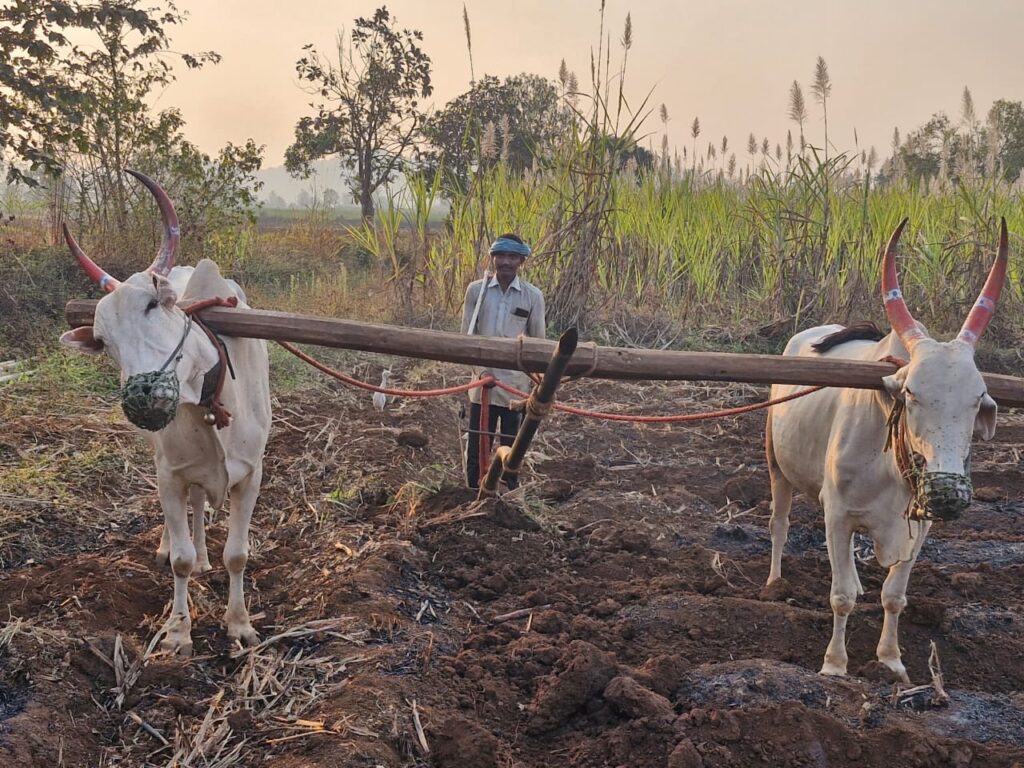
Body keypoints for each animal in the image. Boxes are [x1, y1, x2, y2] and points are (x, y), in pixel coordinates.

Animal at [59, 171, 271, 656]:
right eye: (103, 339)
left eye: (153, 305)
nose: (143, 398)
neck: (210, 398)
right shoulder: (169, 473)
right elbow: (180, 559)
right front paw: (177, 631)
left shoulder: (251, 474)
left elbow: (238, 554)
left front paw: (239, 624)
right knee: (188, 515)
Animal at [765, 218, 1006, 683]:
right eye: (911, 392)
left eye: (977, 399)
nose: (948, 492)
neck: (889, 468)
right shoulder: (837, 514)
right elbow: (840, 596)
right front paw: (835, 665)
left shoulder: (919, 527)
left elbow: (895, 596)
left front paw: (891, 661)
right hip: (776, 467)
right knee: (779, 525)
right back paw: (773, 583)